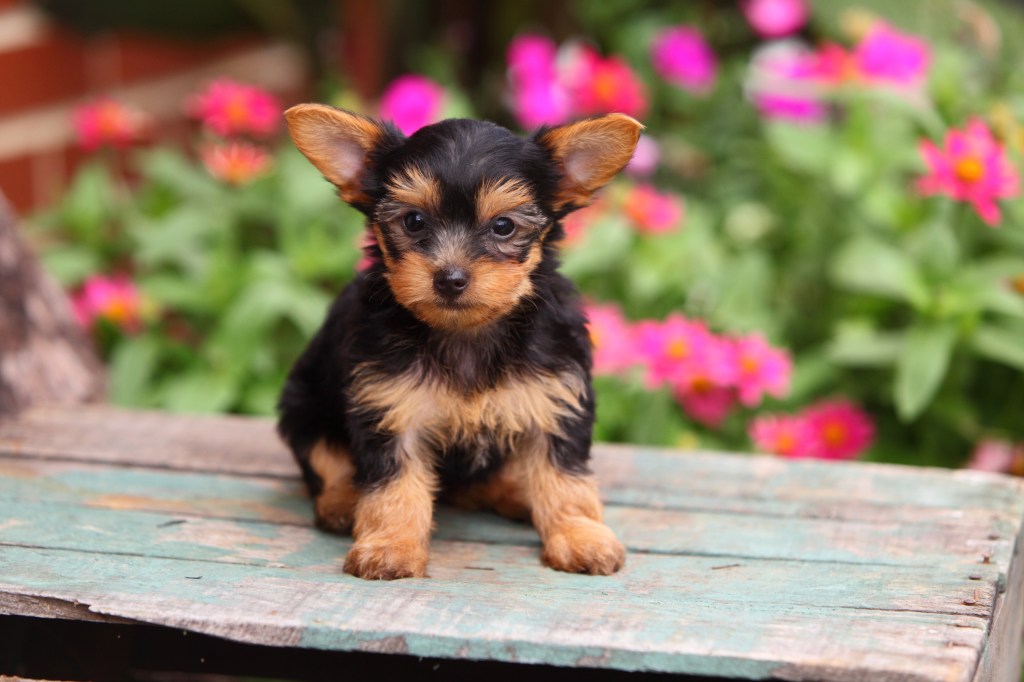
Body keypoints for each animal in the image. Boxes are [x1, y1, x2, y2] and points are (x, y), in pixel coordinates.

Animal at [276, 102, 643, 577]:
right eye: (414, 221)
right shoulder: (388, 404)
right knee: (327, 459)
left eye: (503, 226)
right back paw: (342, 501)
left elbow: (564, 474)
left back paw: (516, 493)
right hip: (303, 406)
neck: (466, 332)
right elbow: (393, 482)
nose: (450, 278)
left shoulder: (558, 395)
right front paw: (391, 544)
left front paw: (579, 534)